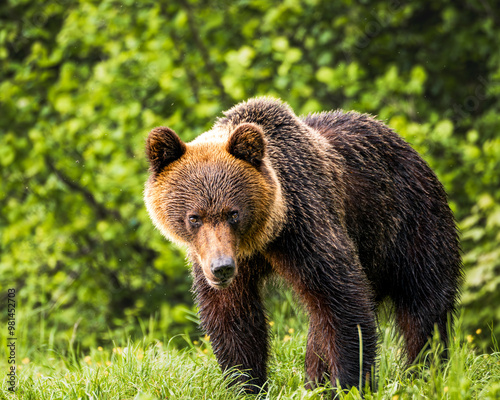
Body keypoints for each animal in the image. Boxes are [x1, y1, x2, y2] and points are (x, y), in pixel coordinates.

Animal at [143, 97, 462, 394]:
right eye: (194, 217)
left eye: (233, 213)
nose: (221, 268)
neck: (263, 237)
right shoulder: (222, 259)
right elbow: (233, 318)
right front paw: (246, 384)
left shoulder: (305, 226)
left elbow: (342, 300)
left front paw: (349, 384)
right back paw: (315, 383)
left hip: (410, 222)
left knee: (423, 304)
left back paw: (423, 373)